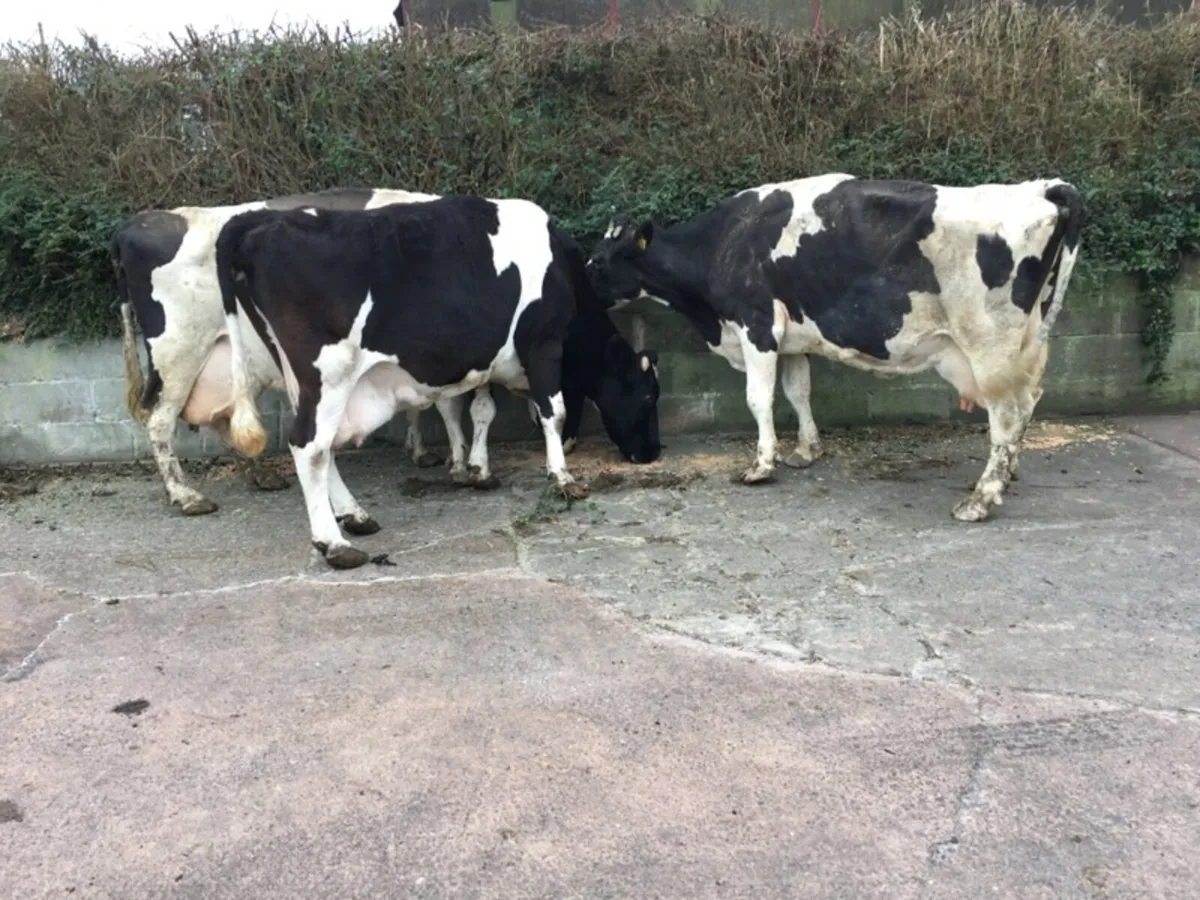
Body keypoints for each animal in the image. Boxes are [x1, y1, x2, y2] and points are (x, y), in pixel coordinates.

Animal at [215, 194, 661, 569]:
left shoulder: (485, 359)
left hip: (301, 377)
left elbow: (482, 410)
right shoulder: (543, 344)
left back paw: (354, 516)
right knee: (309, 446)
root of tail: (262, 221)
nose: (653, 452)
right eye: (646, 397)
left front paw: (478, 468)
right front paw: (562, 477)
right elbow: (555, 412)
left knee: (319, 446)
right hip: (329, 372)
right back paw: (335, 544)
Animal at [585, 174, 1084, 522]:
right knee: (1028, 403)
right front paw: (806, 451)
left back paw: (981, 499)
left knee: (1007, 414)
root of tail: (1043, 188)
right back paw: (1008, 473)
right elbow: (798, 392)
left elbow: (758, 398)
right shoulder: (791, 339)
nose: (578, 281)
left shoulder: (756, 326)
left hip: (989, 346)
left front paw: (761, 466)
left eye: (601, 262)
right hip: (1027, 342)